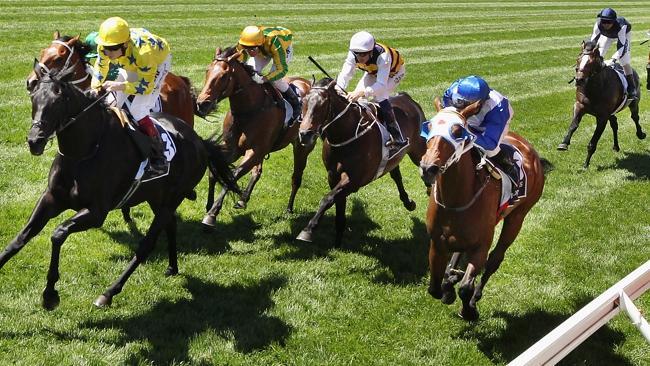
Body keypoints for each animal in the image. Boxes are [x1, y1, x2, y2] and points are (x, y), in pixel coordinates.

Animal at [0, 63, 238, 308]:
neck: (84, 152)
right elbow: (21, 237)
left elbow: (58, 233)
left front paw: (50, 294)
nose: (34, 141)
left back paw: (109, 292)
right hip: (157, 197)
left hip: (172, 198)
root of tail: (199, 142)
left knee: (146, 245)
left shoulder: (96, 212)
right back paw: (172, 266)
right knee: (171, 224)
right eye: (34, 97)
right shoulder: (51, 198)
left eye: (57, 101)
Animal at [194, 46, 312, 227]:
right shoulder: (232, 148)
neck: (249, 109)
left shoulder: (255, 150)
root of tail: (307, 83)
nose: (202, 104)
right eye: (207, 71)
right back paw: (243, 199)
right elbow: (215, 171)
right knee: (257, 171)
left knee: (296, 177)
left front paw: (212, 214)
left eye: (223, 76)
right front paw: (209, 205)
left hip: (302, 146)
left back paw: (289, 208)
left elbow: (232, 176)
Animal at [294, 78, 426, 247]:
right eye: (303, 101)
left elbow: (327, 199)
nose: (304, 134)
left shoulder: (355, 180)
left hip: (418, 150)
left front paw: (308, 230)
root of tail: (407, 97)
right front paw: (337, 241)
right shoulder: (333, 175)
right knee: (396, 174)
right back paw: (408, 202)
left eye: (322, 104)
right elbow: (338, 204)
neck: (346, 135)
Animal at [418, 100, 544, 320]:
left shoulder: (481, 246)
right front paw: (448, 287)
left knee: (495, 259)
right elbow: (434, 288)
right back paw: (452, 276)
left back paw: (474, 295)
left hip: (517, 216)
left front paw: (468, 309)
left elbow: (466, 287)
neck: (455, 200)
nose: (428, 168)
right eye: (429, 126)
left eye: (457, 130)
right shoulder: (437, 243)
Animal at [556, 40, 644, 169]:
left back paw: (640, 134)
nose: (579, 80)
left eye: (591, 62)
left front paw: (586, 164)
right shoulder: (579, 106)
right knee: (614, 124)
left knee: (635, 117)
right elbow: (573, 125)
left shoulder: (602, 117)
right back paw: (616, 146)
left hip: (634, 103)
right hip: (612, 112)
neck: (594, 89)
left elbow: (593, 142)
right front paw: (564, 143)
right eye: (578, 58)